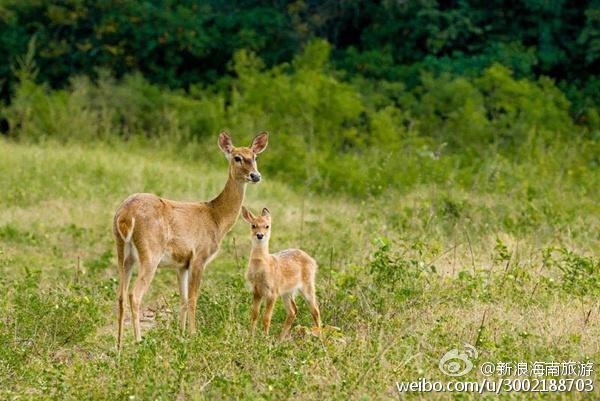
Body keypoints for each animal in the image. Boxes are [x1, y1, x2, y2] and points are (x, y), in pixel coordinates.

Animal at [113, 131, 268, 346]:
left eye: (255, 157)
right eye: (237, 157)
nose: (255, 175)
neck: (215, 217)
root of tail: (125, 214)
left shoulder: (182, 264)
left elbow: (184, 299)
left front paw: (181, 334)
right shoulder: (199, 256)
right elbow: (194, 298)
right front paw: (194, 335)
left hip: (123, 252)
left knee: (120, 296)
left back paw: (119, 345)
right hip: (150, 253)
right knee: (134, 295)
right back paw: (138, 341)